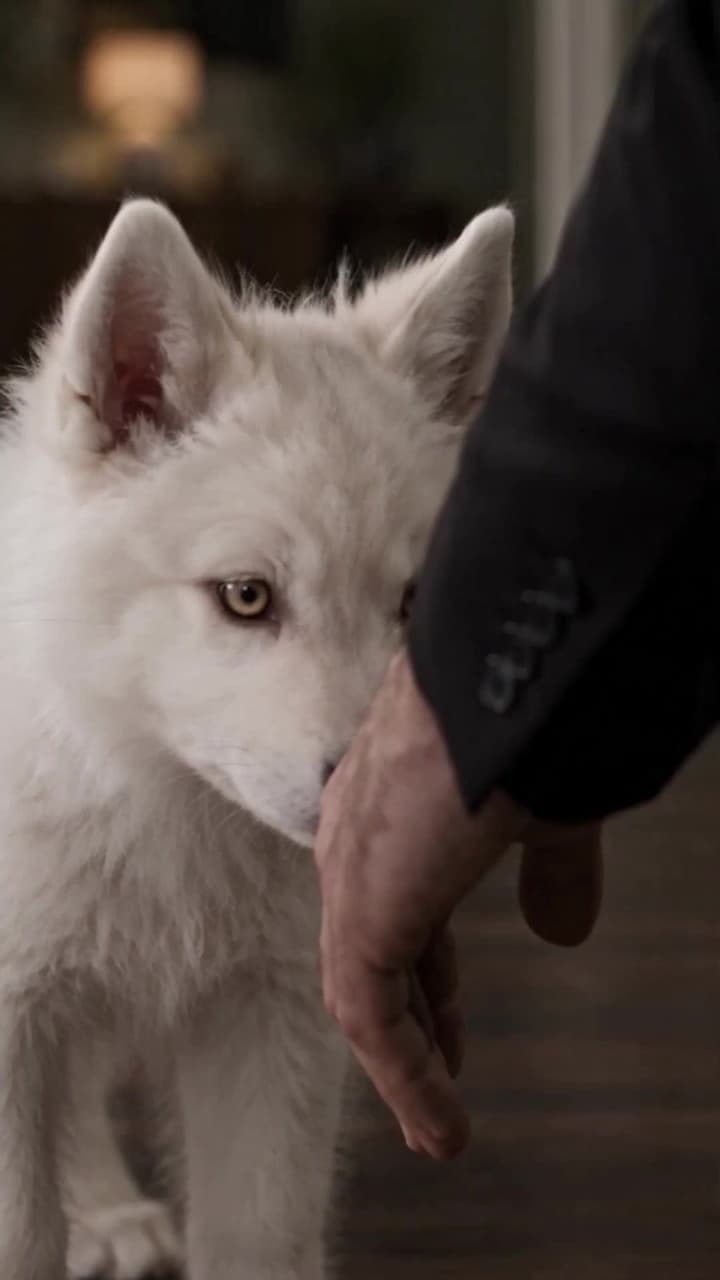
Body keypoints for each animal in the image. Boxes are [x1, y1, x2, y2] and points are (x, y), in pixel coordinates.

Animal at [0, 197, 512, 1279]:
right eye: (246, 597)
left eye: (414, 604)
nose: (379, 820)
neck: (156, 802)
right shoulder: (14, 1016)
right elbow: (18, 1232)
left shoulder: (269, 1026)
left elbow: (257, 1235)